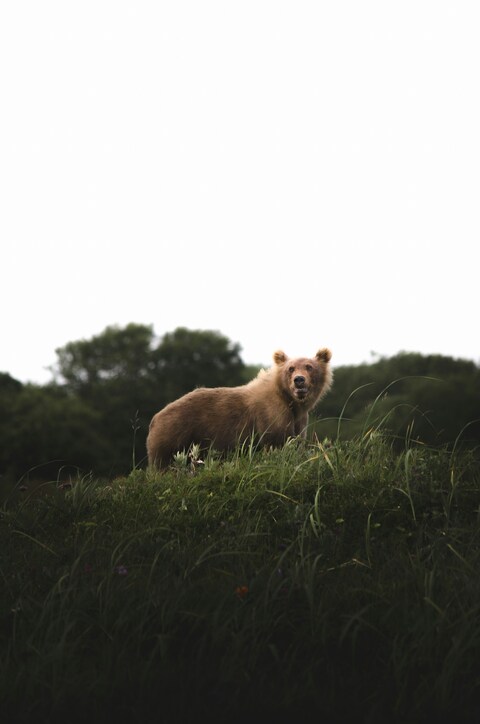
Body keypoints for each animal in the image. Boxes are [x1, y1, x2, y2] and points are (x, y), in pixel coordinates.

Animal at [146, 347, 333, 469]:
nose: (299, 380)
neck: (291, 401)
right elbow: (277, 444)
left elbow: (296, 442)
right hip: (174, 436)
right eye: (290, 368)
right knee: (163, 465)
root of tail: (155, 417)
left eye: (309, 366)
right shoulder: (272, 414)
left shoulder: (299, 420)